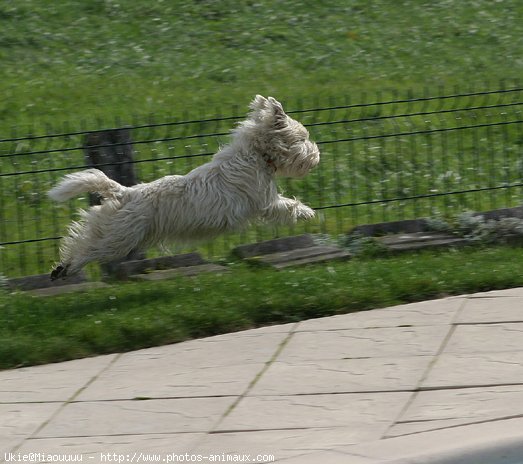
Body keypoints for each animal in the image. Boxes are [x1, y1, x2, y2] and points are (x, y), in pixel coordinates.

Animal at [49, 95, 322, 280]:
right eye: (303, 138)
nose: (318, 155)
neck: (256, 154)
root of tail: (123, 192)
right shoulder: (264, 200)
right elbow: (286, 206)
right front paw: (308, 212)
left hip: (112, 231)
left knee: (80, 237)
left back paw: (60, 268)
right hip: (118, 237)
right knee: (86, 247)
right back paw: (66, 268)